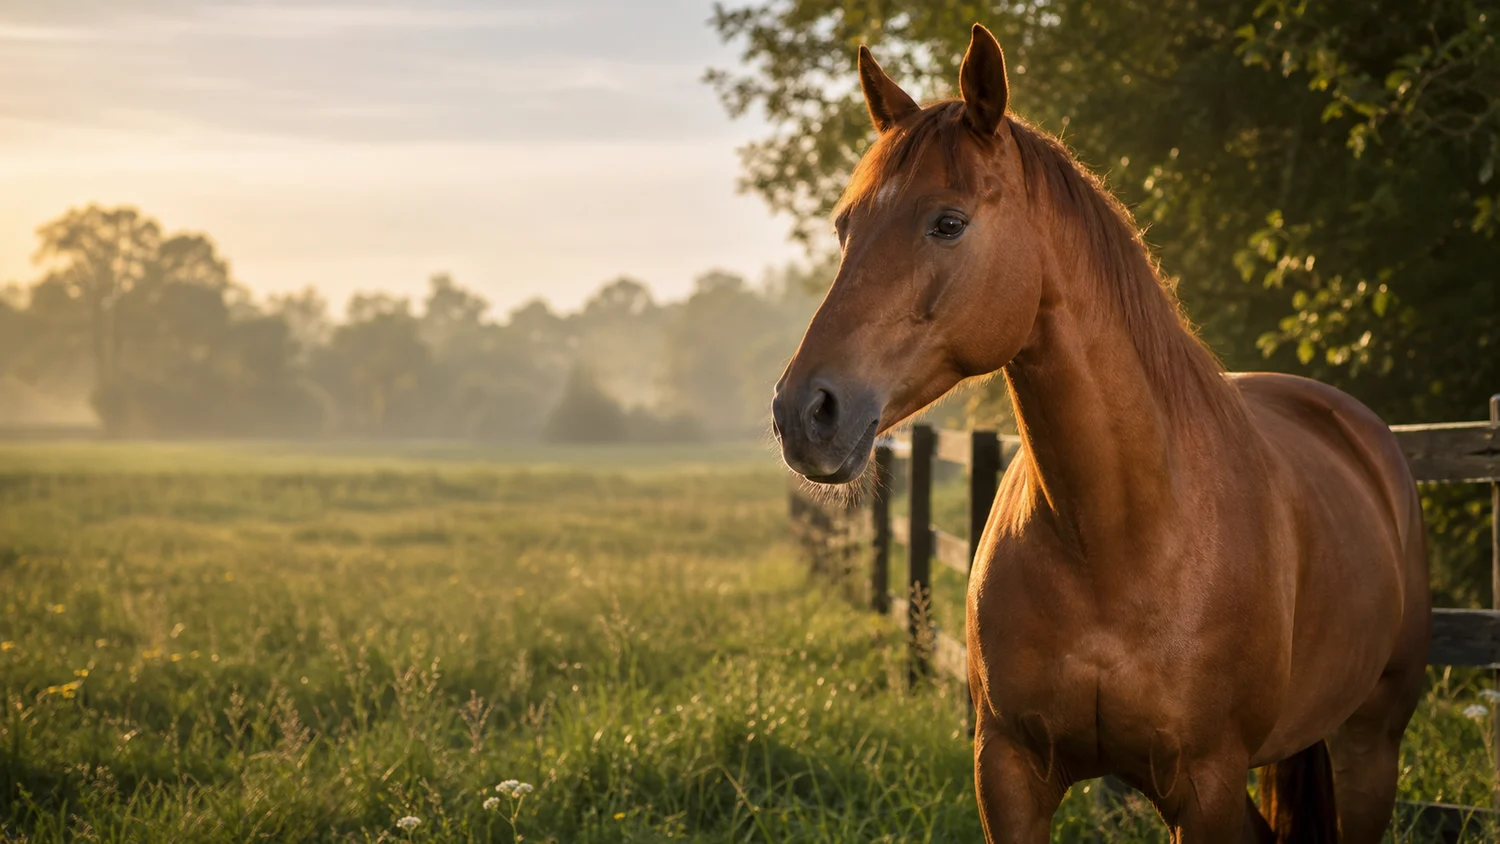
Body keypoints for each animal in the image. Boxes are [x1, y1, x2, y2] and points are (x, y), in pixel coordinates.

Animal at [770, 24, 1430, 844]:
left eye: (948, 222)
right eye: (846, 226)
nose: (806, 412)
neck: (1117, 539)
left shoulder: (1205, 784)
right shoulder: (1010, 774)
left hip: (1370, 745)